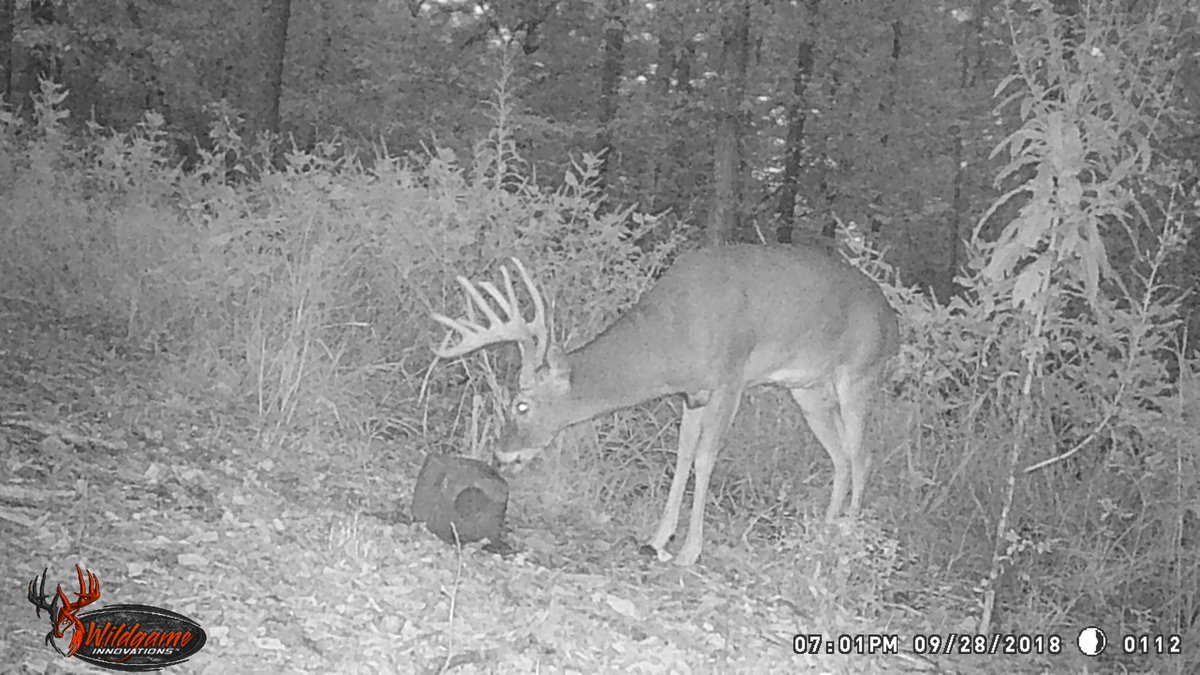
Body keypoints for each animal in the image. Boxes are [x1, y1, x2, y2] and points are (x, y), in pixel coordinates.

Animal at [431, 243, 899, 566]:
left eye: (522, 404)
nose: (501, 454)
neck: (672, 340)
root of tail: (892, 318)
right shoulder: (693, 395)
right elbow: (683, 456)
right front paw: (657, 538)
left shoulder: (730, 378)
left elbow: (705, 460)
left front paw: (690, 551)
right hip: (808, 391)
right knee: (841, 457)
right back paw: (825, 534)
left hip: (859, 374)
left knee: (863, 456)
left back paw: (846, 543)